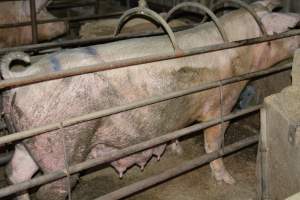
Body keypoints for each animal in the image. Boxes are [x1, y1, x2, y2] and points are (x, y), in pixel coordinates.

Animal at [1, 0, 298, 199]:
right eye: (290, 26)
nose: (297, 24)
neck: (239, 48)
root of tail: (23, 75)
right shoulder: (221, 101)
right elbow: (214, 142)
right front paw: (228, 181)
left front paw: (176, 149)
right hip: (62, 145)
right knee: (52, 187)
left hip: (30, 140)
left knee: (17, 174)